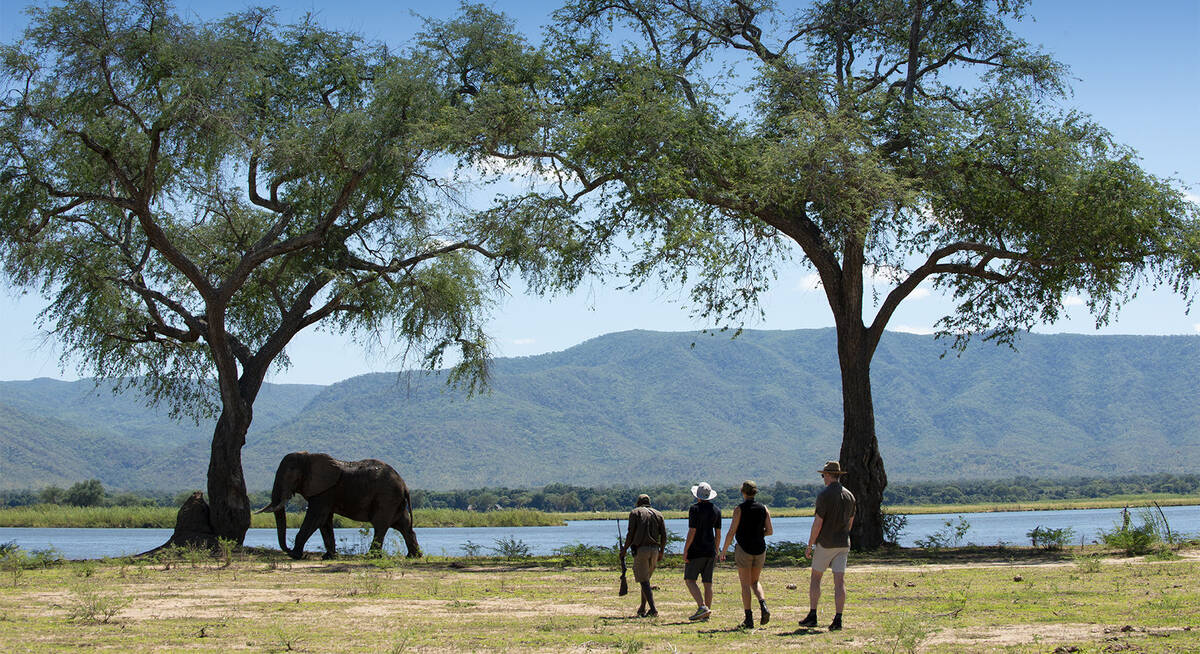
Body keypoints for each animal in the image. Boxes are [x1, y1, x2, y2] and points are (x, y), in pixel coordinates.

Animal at [255, 451, 420, 559]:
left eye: (290, 474)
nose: (288, 550)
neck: (309, 456)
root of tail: (404, 486)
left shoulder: (325, 491)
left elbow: (316, 517)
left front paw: (295, 555)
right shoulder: (325, 493)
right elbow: (325, 521)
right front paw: (328, 557)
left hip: (387, 497)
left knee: (380, 525)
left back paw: (371, 556)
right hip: (395, 500)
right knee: (403, 525)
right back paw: (413, 556)